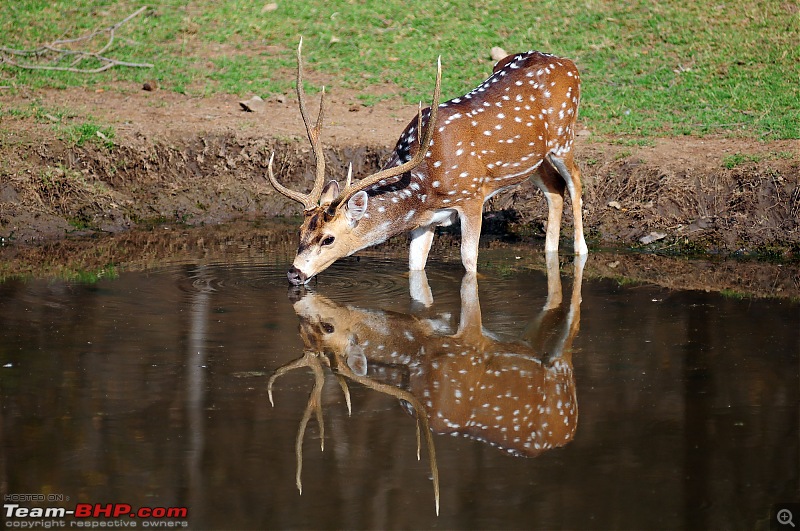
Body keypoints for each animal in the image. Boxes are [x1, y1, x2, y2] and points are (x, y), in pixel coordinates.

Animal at [268, 39, 588, 286]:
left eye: (328, 239)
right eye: (300, 231)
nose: (294, 274)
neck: (425, 185)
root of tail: (568, 63)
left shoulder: (472, 196)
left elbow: (469, 260)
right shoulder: (426, 221)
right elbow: (415, 266)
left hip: (564, 136)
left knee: (574, 180)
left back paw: (580, 251)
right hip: (534, 158)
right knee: (554, 189)